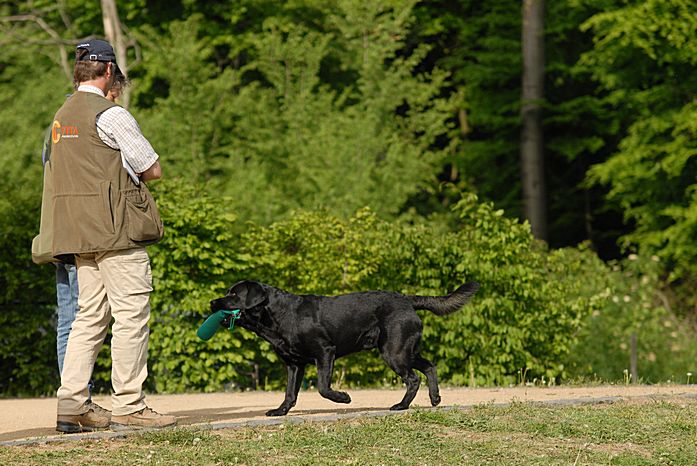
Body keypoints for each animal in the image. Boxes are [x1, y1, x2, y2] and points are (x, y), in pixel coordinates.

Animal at [209, 280, 479, 416]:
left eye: (233, 295)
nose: (212, 302)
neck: (278, 315)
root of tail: (407, 299)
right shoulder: (294, 364)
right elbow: (289, 392)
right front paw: (281, 411)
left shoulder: (325, 352)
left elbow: (322, 387)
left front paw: (344, 398)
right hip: (405, 350)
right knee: (430, 366)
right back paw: (435, 398)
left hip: (393, 351)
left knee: (413, 378)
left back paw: (401, 406)